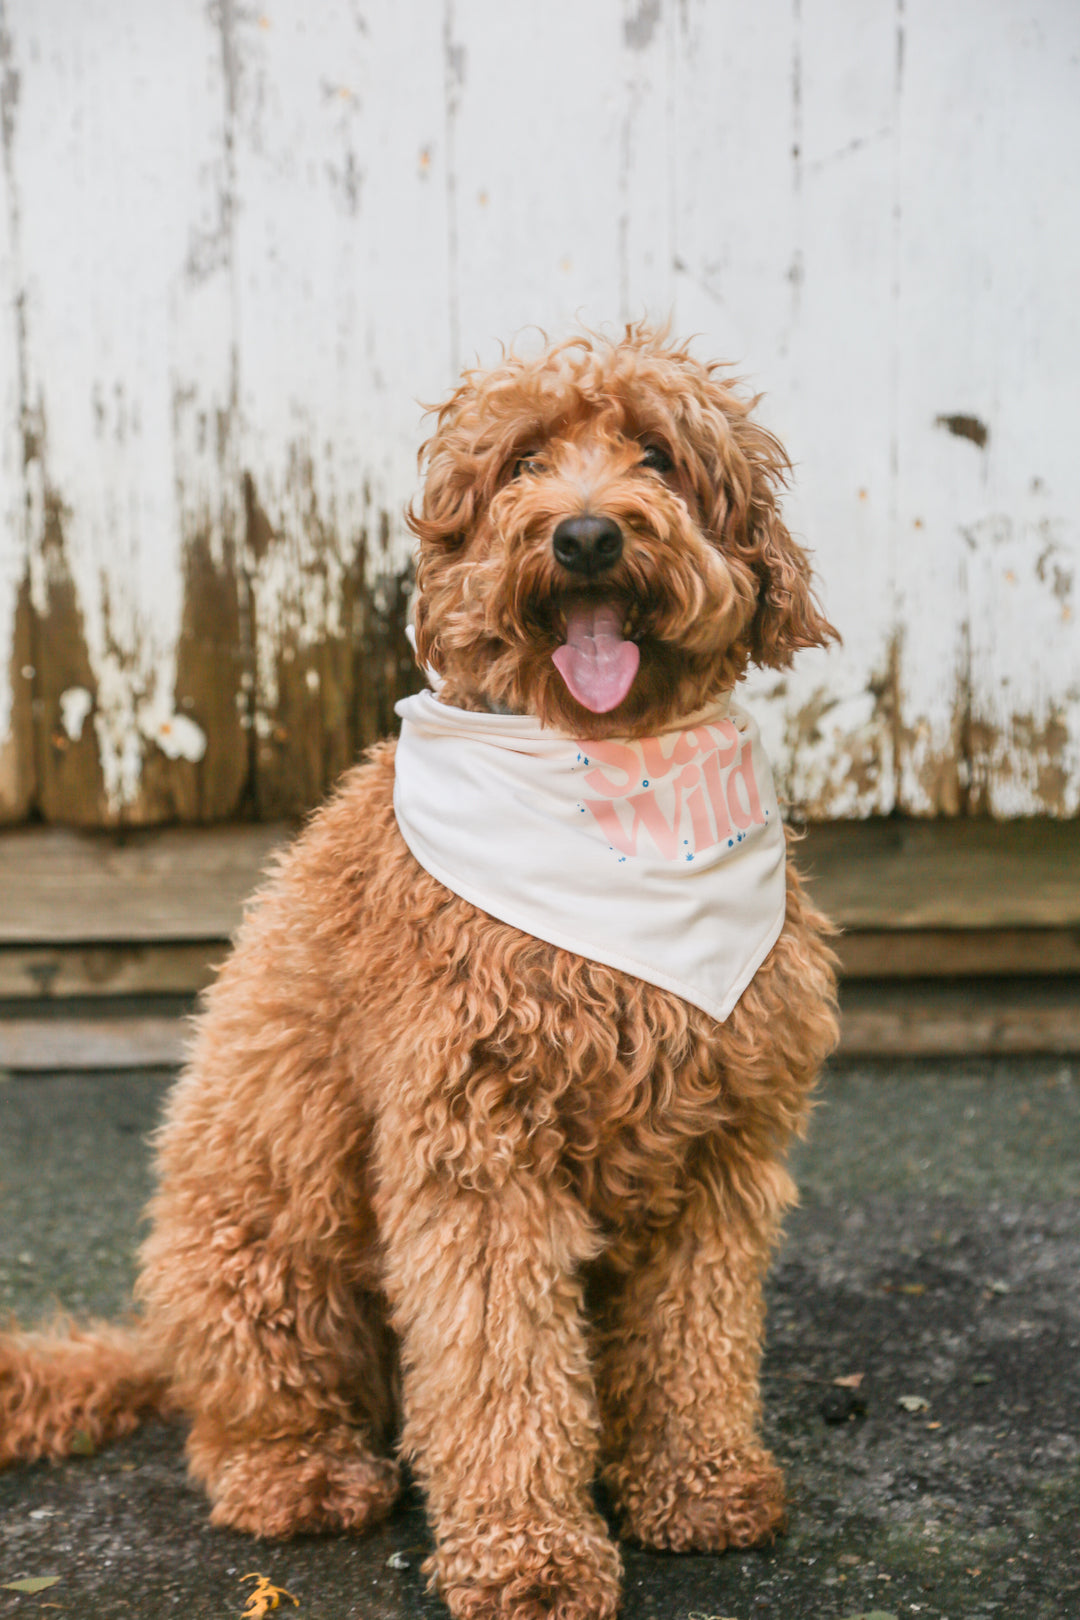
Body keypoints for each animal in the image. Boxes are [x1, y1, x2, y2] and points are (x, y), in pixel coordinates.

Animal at [0, 328, 841, 1620]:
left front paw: (697, 1486)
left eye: (657, 454)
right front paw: (529, 1556)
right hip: (264, 1269)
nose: (584, 535)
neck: (610, 783)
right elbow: (501, 1364)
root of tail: (154, 1338)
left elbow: (695, 1337)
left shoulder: (721, 1149)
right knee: (243, 1422)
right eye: (523, 462)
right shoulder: (475, 1150)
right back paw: (302, 1475)